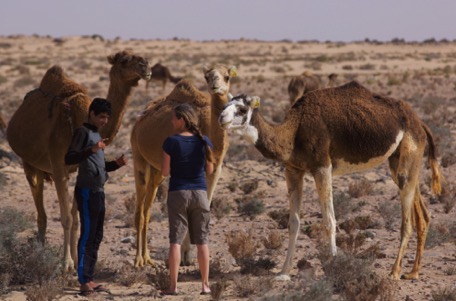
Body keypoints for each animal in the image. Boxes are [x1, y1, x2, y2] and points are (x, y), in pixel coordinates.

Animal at [6, 49, 151, 270]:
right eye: (125, 60)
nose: (146, 66)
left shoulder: (75, 170)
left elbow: (76, 218)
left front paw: (76, 260)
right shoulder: (58, 165)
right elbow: (66, 217)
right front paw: (66, 264)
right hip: (28, 163)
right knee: (40, 208)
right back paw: (38, 251)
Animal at [130, 64, 237, 266]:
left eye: (227, 76)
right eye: (207, 76)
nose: (215, 84)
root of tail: (138, 121)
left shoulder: (215, 168)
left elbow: (205, 205)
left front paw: (190, 255)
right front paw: (185, 255)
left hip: (157, 170)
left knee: (147, 209)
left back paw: (148, 258)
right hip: (138, 157)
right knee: (139, 209)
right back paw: (139, 260)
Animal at [219, 81, 444, 278]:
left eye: (241, 109)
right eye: (226, 104)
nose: (221, 117)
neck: (295, 131)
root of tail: (420, 122)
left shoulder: (322, 166)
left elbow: (329, 220)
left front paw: (334, 265)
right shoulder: (292, 170)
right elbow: (293, 222)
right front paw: (283, 273)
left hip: (410, 151)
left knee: (407, 221)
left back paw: (395, 272)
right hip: (398, 161)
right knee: (422, 214)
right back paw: (413, 272)